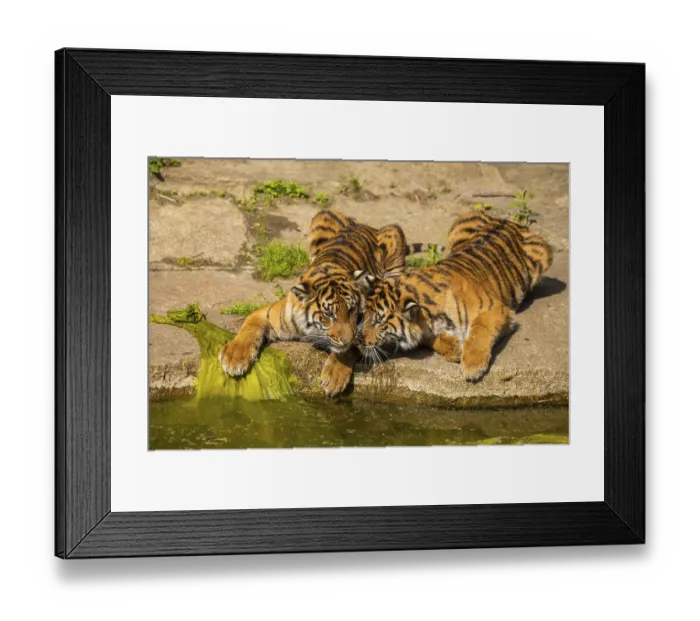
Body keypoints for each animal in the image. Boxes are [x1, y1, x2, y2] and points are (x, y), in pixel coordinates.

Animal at [219, 209, 410, 397]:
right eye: (328, 315)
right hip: (322, 215)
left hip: (394, 235)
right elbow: (248, 329)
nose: (347, 340)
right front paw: (234, 357)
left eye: (351, 310)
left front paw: (334, 376)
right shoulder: (267, 314)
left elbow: (352, 348)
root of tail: (364, 225)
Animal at [359, 212, 554, 381]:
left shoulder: (494, 308)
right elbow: (431, 340)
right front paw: (454, 348)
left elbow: (479, 330)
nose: (358, 339)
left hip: (543, 253)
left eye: (378, 321)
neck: (429, 316)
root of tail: (508, 221)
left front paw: (472, 367)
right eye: (365, 315)